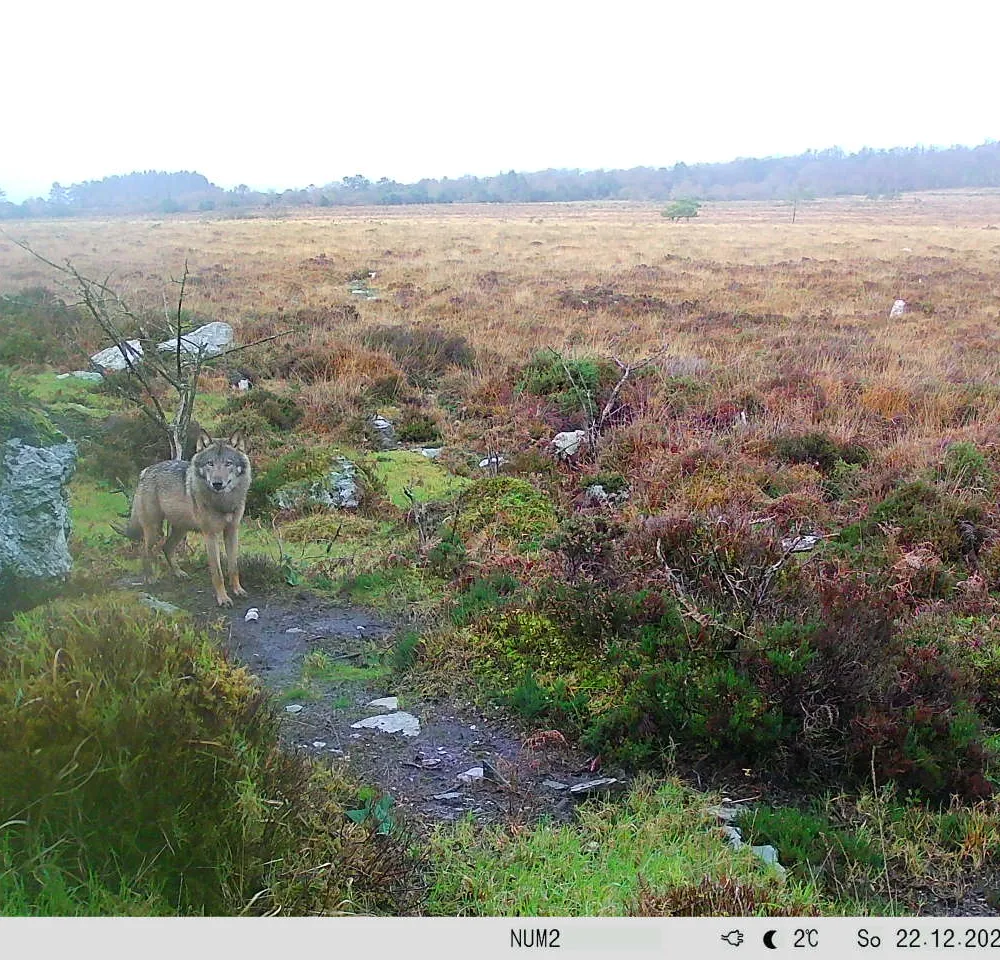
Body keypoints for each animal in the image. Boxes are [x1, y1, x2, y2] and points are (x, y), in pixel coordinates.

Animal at [117, 430, 252, 607]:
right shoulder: (210, 535)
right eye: (210, 463)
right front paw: (223, 599)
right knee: (145, 551)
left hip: (181, 529)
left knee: (166, 548)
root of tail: (146, 470)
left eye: (228, 463)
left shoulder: (232, 531)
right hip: (154, 529)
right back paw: (150, 578)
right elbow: (217, 572)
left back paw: (179, 573)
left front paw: (238, 590)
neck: (223, 502)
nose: (217, 483)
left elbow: (233, 567)